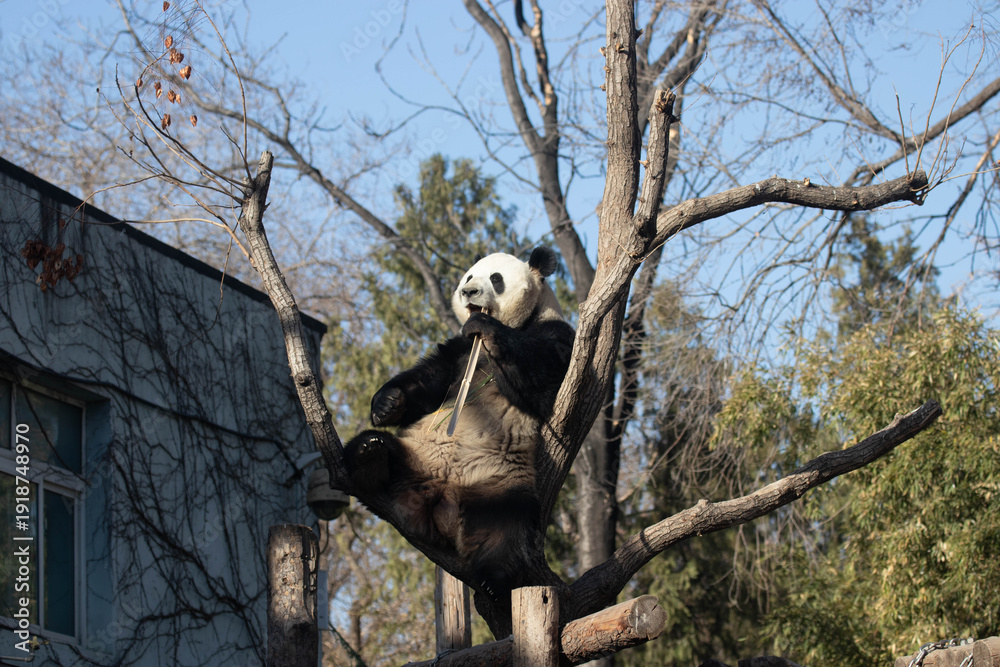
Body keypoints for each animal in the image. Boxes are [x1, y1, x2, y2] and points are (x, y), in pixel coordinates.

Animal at [344, 247, 574, 600]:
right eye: (468, 276)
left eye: (496, 279)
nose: (469, 292)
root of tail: (441, 496)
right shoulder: (457, 350)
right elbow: (429, 380)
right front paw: (386, 404)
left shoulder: (557, 337)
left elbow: (544, 378)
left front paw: (487, 326)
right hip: (417, 453)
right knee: (368, 444)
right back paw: (371, 458)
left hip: (501, 485)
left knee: (508, 528)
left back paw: (492, 581)